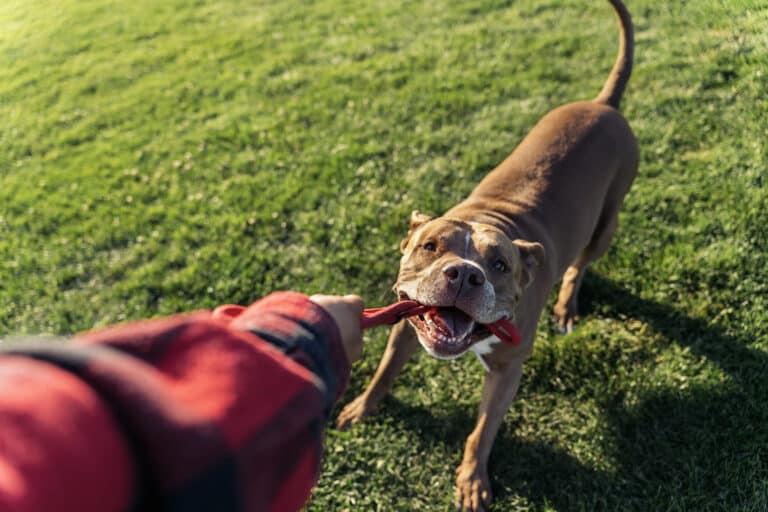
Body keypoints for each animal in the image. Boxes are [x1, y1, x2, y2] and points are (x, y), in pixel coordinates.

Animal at [336, 2, 636, 510]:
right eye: (430, 246)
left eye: (499, 266)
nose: (462, 275)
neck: (491, 217)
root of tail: (604, 105)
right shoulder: (406, 328)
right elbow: (383, 372)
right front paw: (361, 407)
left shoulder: (507, 372)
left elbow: (482, 431)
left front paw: (473, 480)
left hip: (607, 222)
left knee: (580, 264)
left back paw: (566, 307)